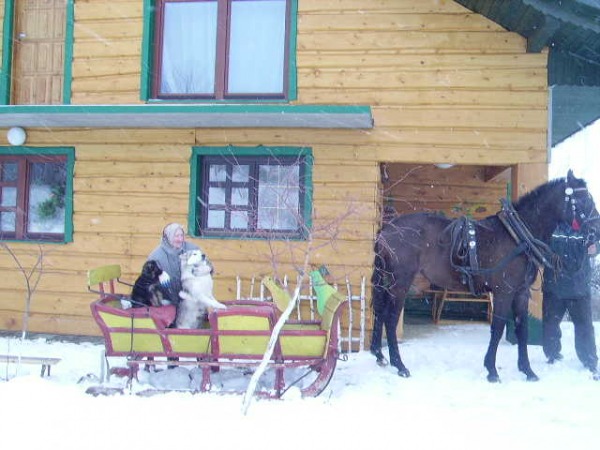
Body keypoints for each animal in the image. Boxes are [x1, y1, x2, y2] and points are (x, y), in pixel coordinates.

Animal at [370, 171, 600, 382]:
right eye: (583, 199)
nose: (596, 230)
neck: (518, 236)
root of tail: (386, 231)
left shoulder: (521, 292)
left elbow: (522, 329)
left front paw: (527, 370)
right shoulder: (504, 292)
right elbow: (497, 329)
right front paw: (492, 370)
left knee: (380, 312)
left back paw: (379, 354)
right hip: (401, 281)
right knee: (390, 318)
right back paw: (399, 365)